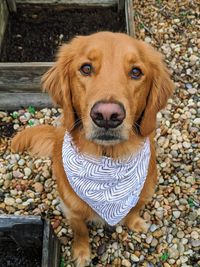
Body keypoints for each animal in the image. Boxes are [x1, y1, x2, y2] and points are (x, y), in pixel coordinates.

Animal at [11, 31, 173, 267]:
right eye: (86, 68)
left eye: (136, 72)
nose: (107, 115)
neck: (107, 159)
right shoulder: (71, 208)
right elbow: (80, 231)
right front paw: (81, 253)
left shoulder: (143, 192)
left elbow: (133, 209)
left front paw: (135, 223)